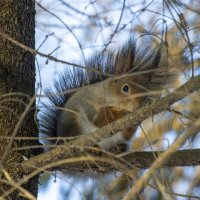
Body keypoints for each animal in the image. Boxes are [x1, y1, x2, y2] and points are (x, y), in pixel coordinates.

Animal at [39, 38, 175, 152]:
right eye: (125, 88)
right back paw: (92, 149)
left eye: (146, 93)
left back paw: (118, 148)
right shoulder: (90, 102)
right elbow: (100, 119)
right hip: (73, 125)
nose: (137, 106)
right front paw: (121, 113)